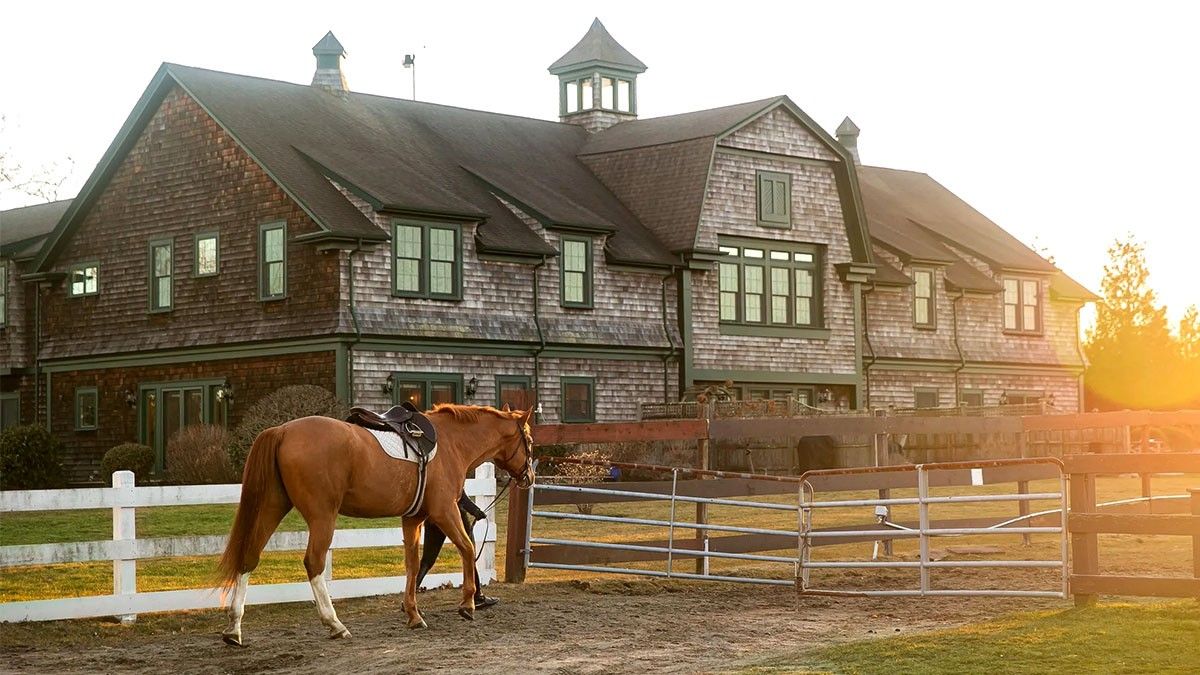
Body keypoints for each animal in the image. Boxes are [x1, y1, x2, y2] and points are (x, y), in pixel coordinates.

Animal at [216, 401, 535, 643]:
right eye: (529, 441)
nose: (529, 477)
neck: (450, 442)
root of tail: (282, 430)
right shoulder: (445, 511)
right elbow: (467, 548)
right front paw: (468, 604)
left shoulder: (413, 518)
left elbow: (412, 565)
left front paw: (413, 614)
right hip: (322, 516)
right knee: (314, 563)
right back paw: (334, 623)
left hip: (272, 506)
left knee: (249, 556)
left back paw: (234, 629)